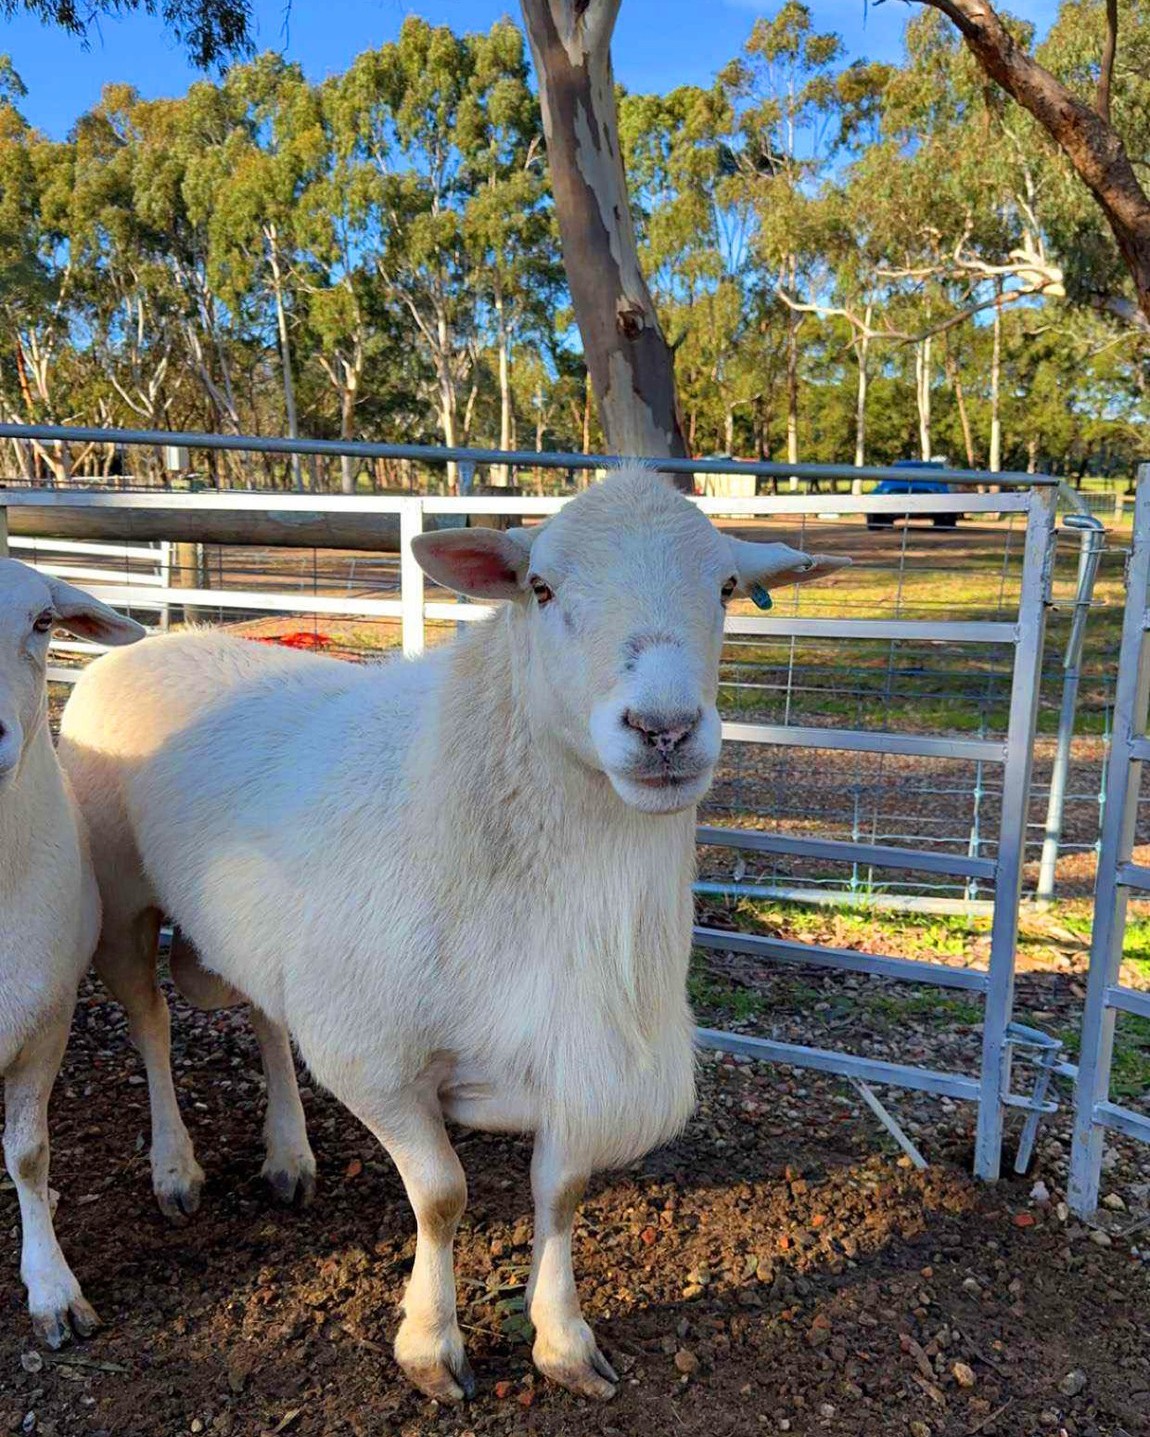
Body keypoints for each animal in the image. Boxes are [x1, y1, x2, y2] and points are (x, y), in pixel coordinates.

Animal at [58, 467, 849, 1400]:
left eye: (725, 585)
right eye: (540, 588)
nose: (664, 730)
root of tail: (153, 638)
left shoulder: (569, 1052)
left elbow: (561, 1191)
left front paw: (563, 1339)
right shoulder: (378, 1057)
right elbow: (441, 1195)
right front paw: (431, 1346)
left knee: (267, 1019)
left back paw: (288, 1154)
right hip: (119, 899)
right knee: (150, 1023)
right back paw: (175, 1167)